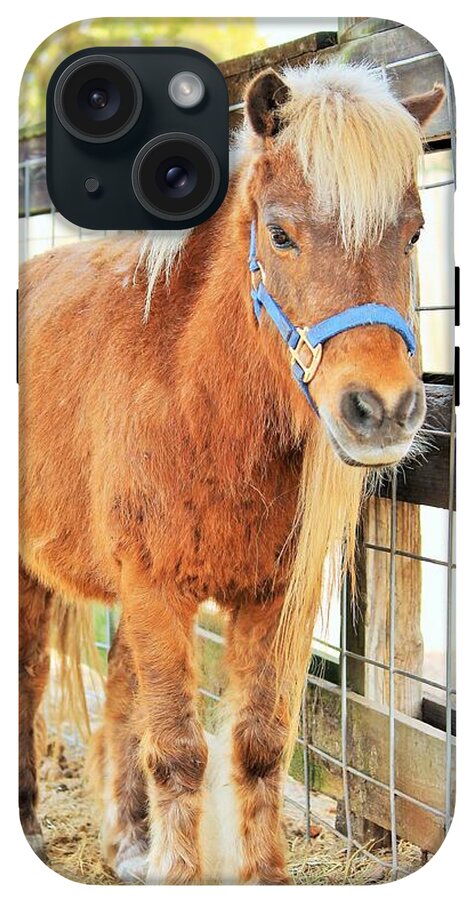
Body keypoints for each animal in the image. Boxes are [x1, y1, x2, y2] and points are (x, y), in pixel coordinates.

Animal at [19, 61, 444, 884]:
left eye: (414, 233)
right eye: (279, 234)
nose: (382, 409)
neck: (196, 400)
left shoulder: (270, 600)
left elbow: (258, 747)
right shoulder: (155, 590)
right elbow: (181, 754)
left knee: (119, 691)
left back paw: (128, 842)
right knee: (29, 682)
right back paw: (30, 823)